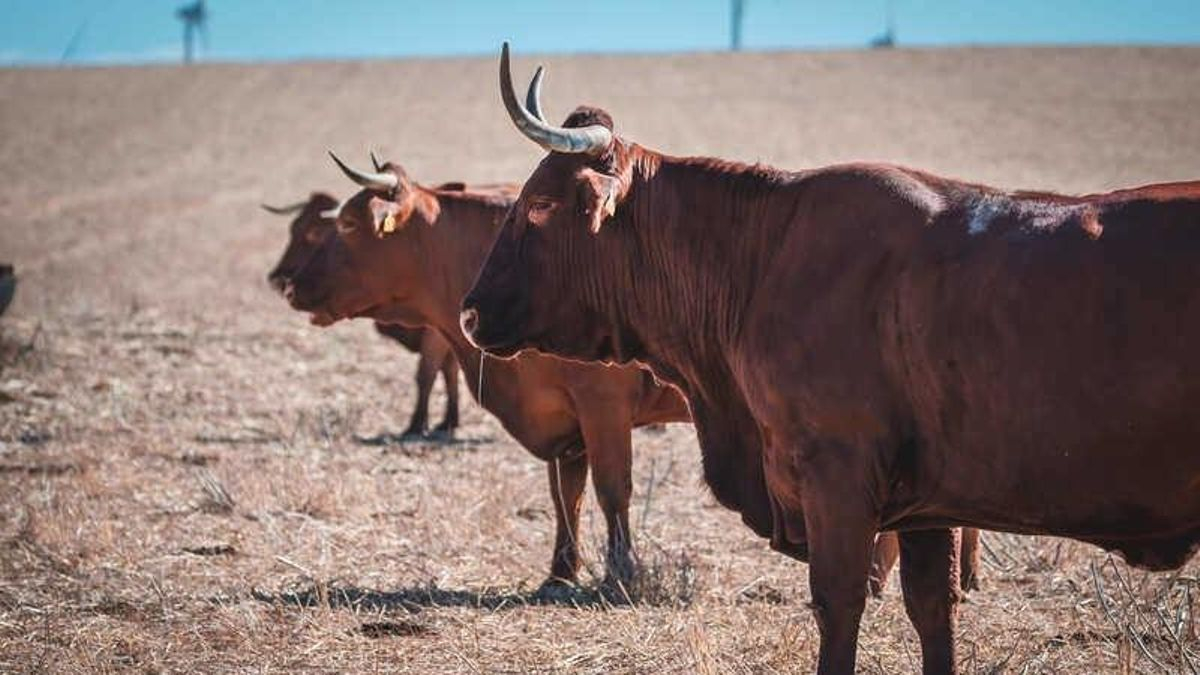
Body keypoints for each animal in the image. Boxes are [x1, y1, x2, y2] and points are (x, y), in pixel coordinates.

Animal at [263, 192, 459, 438]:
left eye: (312, 233)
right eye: (293, 228)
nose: (277, 278)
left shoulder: (437, 333)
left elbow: (427, 373)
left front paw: (417, 424)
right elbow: (449, 370)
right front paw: (449, 421)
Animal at [461, 44, 1200, 674]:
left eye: (539, 204)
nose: (469, 314)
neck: (762, 258)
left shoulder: (837, 481)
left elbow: (839, 606)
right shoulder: (927, 506)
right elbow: (933, 609)